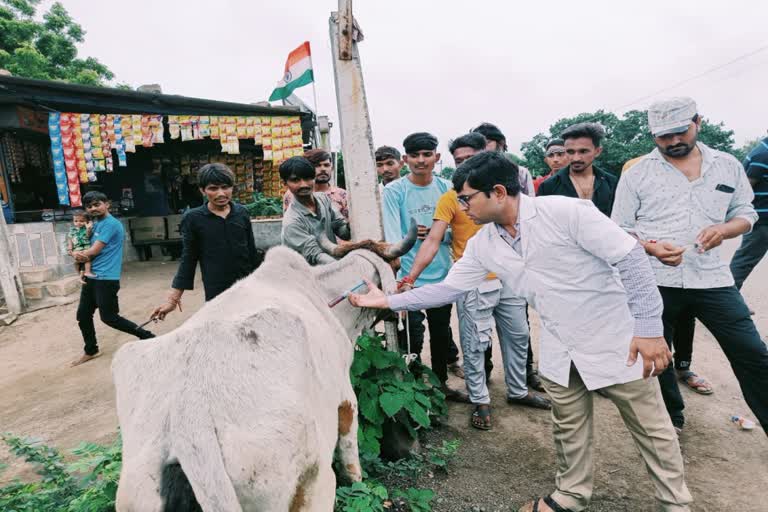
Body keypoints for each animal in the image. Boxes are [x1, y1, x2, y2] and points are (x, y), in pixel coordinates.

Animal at [111, 225, 414, 512]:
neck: (322, 293)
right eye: (397, 266)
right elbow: (352, 460)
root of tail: (190, 425)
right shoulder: (345, 398)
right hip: (310, 484)